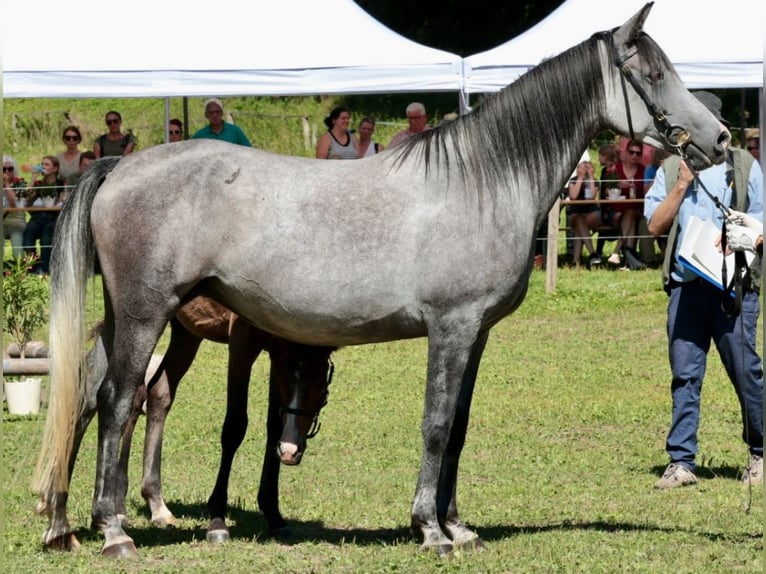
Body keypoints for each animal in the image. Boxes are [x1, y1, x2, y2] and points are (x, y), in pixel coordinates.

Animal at [36, 4, 732, 560]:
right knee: (119, 403)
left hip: (130, 318)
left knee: (92, 395)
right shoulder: (450, 328)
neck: (480, 181)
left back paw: (66, 524)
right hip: (146, 314)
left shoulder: (476, 334)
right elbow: (435, 424)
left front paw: (458, 527)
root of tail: (121, 164)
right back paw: (115, 530)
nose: (722, 138)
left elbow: (459, 428)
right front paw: (429, 529)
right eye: (653, 74)